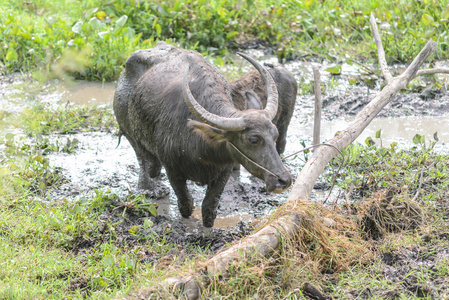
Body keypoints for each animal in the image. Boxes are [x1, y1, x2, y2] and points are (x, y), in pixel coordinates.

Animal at [114, 41, 292, 226]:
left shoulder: (224, 172)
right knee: (142, 160)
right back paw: (147, 188)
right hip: (129, 132)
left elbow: (208, 210)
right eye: (254, 139)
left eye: (274, 135)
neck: (202, 146)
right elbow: (186, 205)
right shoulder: (172, 169)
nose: (284, 180)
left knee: (153, 167)